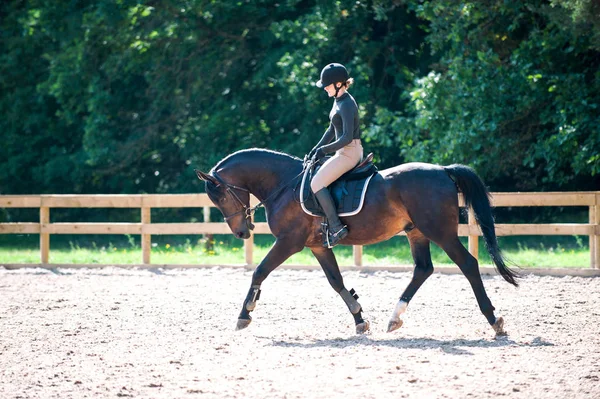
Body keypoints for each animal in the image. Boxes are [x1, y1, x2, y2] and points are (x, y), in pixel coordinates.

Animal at [195, 148, 516, 336]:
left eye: (220, 196)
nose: (242, 232)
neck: (285, 184)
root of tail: (443, 170)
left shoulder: (289, 242)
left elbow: (259, 271)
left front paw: (244, 315)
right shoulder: (318, 246)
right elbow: (336, 281)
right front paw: (360, 320)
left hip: (440, 232)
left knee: (468, 264)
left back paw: (494, 320)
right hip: (416, 232)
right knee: (423, 269)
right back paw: (394, 319)